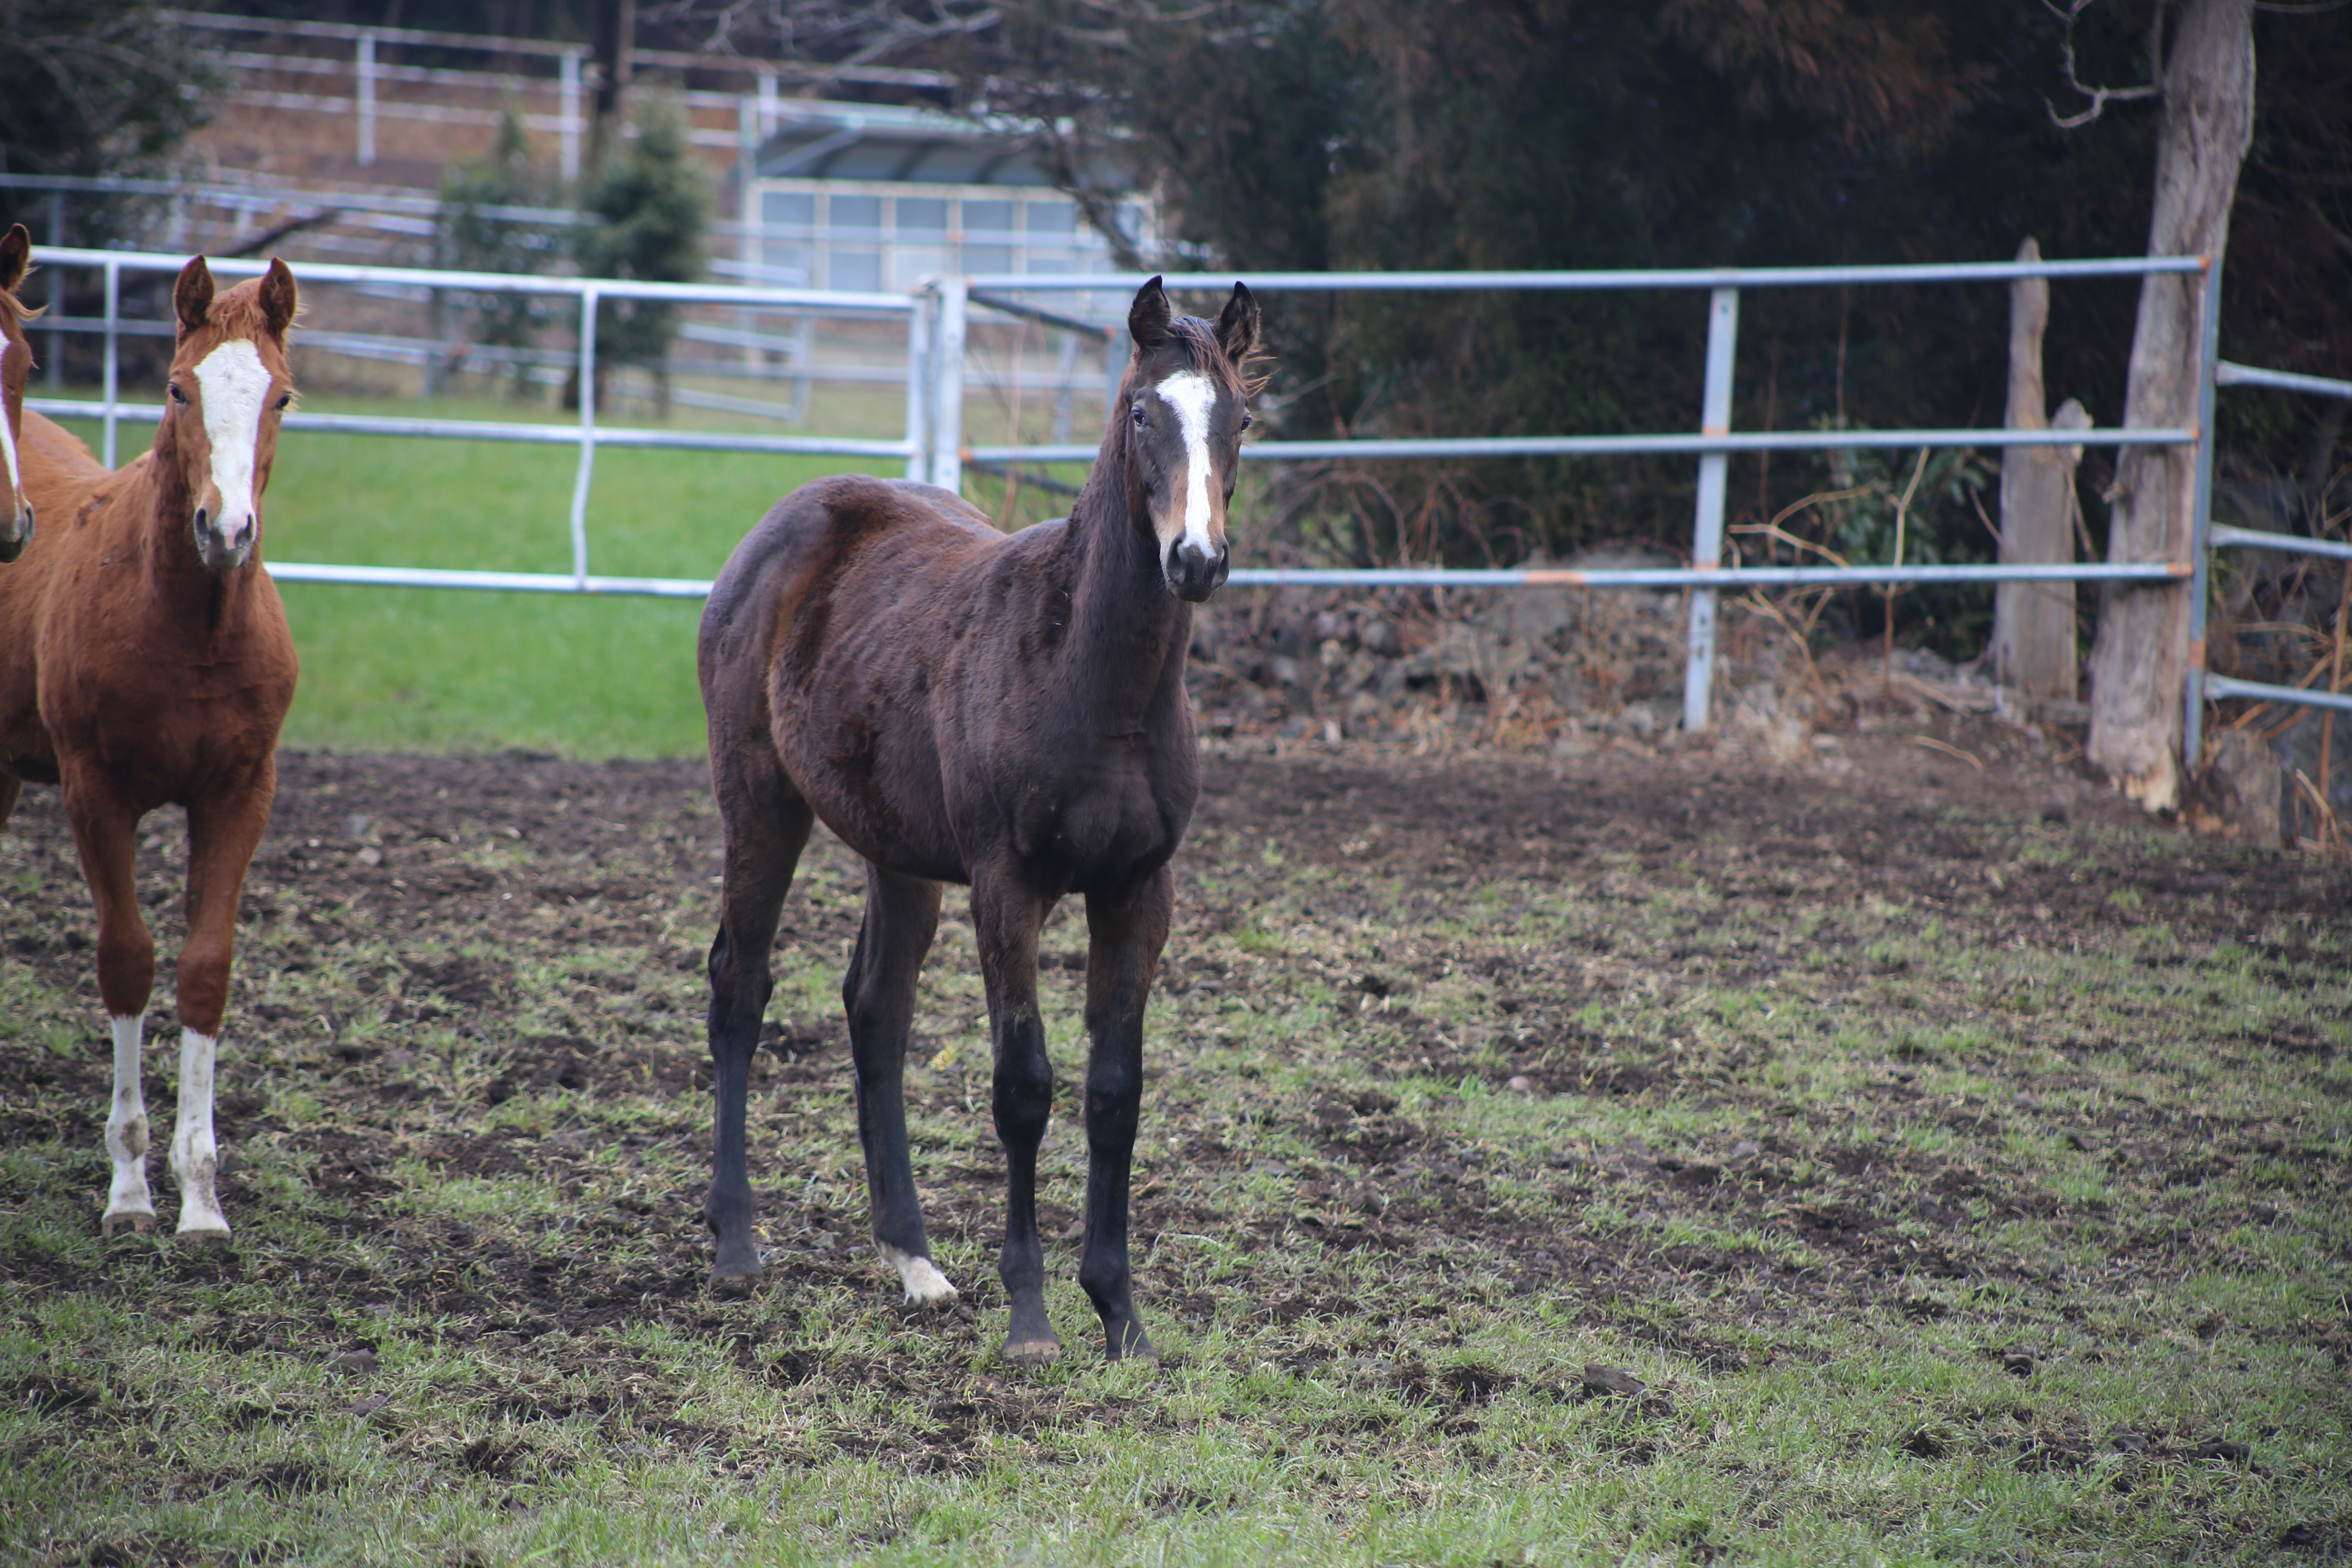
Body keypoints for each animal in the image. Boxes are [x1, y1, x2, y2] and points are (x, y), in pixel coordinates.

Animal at [2, 255, 301, 1241]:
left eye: (282, 396)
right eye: (177, 389)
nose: (227, 530)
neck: (188, 623)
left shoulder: (241, 792)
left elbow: (205, 969)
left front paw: (201, 1199)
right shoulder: (96, 793)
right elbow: (127, 960)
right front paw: (129, 1189)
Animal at [691, 278, 1261, 1363]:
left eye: (1239, 421)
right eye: (1141, 414)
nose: (1195, 560)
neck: (1091, 677)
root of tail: (781, 524)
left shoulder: (1139, 891)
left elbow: (1115, 1090)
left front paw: (1120, 1314)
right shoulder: (1009, 885)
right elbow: (1023, 1086)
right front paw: (1032, 1316)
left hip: (898, 851)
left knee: (876, 1010)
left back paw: (913, 1260)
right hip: (759, 801)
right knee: (740, 987)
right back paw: (736, 1242)